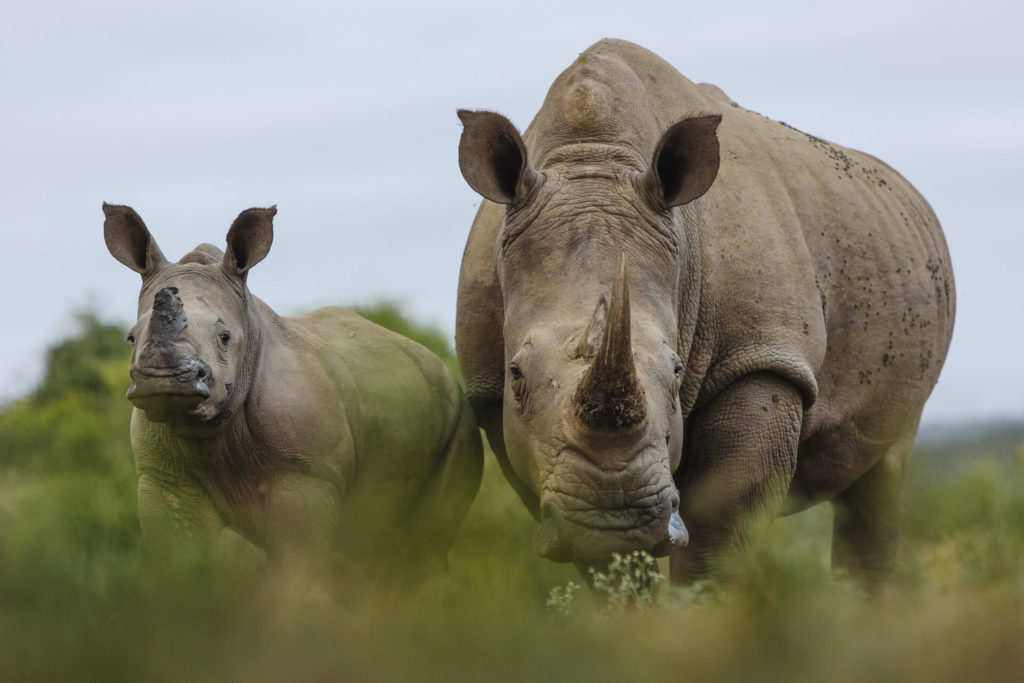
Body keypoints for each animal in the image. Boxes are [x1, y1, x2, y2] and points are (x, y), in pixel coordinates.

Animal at [103, 203, 482, 585]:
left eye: (224, 338)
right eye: (131, 338)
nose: (164, 380)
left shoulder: (307, 472)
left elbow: (295, 566)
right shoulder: (165, 479)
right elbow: (176, 563)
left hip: (460, 418)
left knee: (425, 540)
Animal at [455, 39, 954, 585]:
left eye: (677, 371)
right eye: (516, 373)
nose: (614, 514)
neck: (593, 157)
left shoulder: (762, 357)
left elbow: (718, 529)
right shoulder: (494, 399)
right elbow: (607, 566)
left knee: (883, 470)